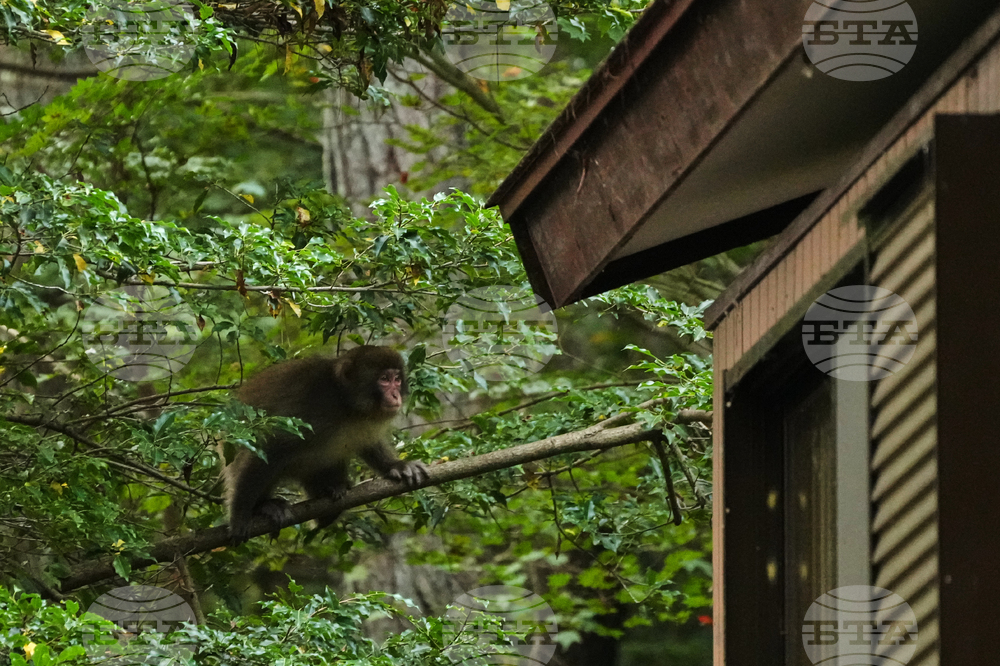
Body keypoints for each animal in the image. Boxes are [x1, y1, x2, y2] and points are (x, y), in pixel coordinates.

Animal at [224, 345, 429, 542]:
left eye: (397, 379)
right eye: (384, 379)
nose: (396, 395)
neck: (345, 401)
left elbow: (368, 443)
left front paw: (396, 466)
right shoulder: (311, 410)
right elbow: (271, 446)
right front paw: (240, 515)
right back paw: (264, 506)